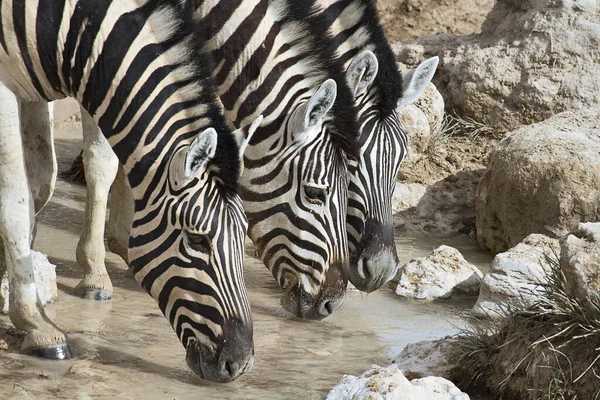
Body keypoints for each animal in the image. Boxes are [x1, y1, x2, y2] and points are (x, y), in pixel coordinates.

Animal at [0, 0, 258, 382]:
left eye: (244, 234)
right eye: (198, 240)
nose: (240, 365)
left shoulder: (30, 84)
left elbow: (40, 183)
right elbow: (16, 201)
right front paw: (36, 322)